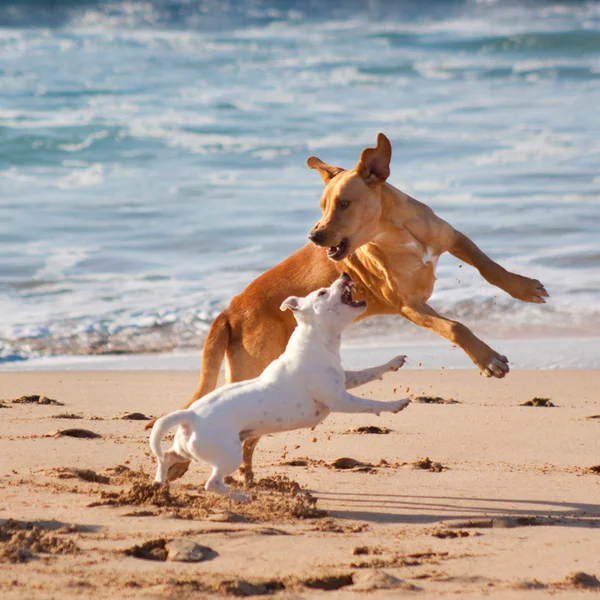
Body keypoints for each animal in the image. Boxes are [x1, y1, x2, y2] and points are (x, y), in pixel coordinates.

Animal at [151, 274, 412, 504]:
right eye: (322, 292)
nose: (345, 273)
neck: (315, 340)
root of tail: (190, 415)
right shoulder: (339, 400)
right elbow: (369, 404)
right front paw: (396, 404)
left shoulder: (345, 379)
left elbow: (369, 372)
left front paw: (393, 363)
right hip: (229, 454)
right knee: (212, 483)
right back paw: (241, 497)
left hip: (186, 448)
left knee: (167, 457)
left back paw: (159, 484)